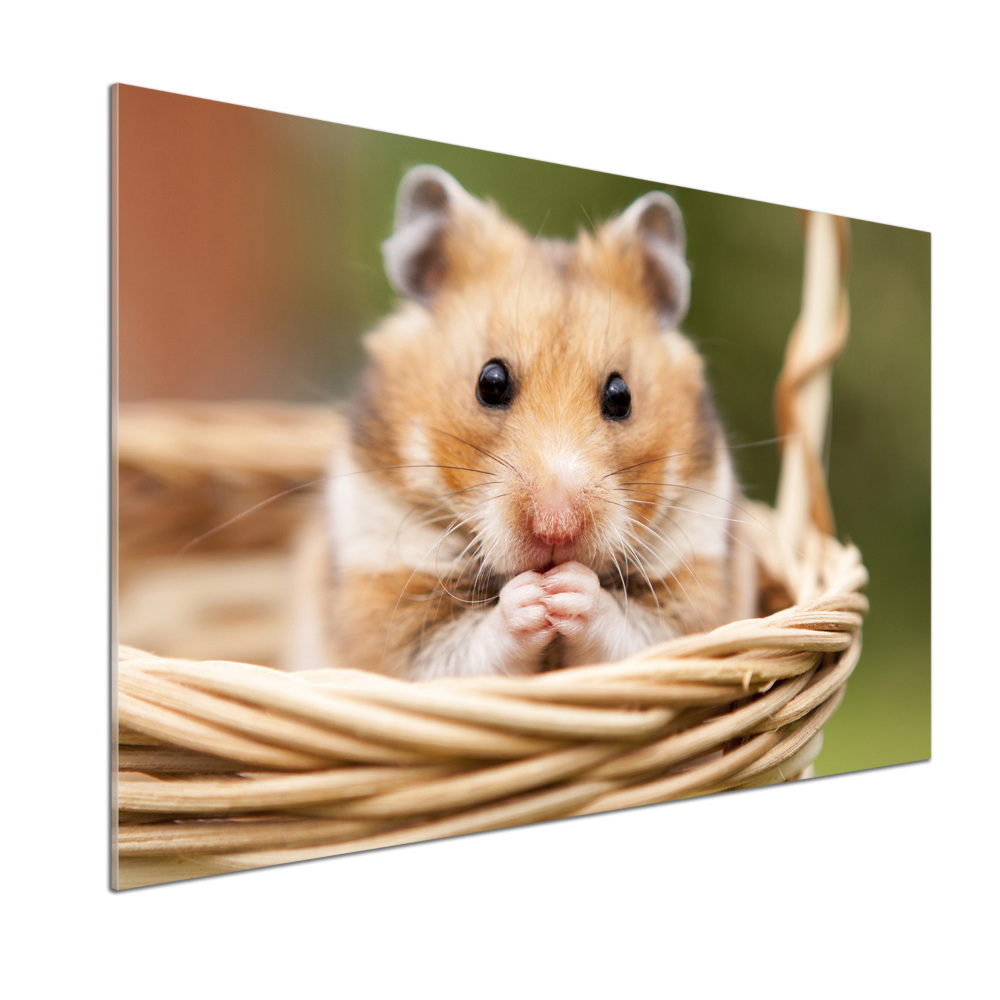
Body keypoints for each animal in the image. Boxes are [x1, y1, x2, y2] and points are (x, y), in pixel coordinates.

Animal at [292, 168, 752, 680]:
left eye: (621, 396)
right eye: (490, 382)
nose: (556, 529)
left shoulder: (695, 591)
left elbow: (634, 634)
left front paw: (569, 589)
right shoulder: (388, 602)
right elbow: (467, 647)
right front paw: (533, 598)